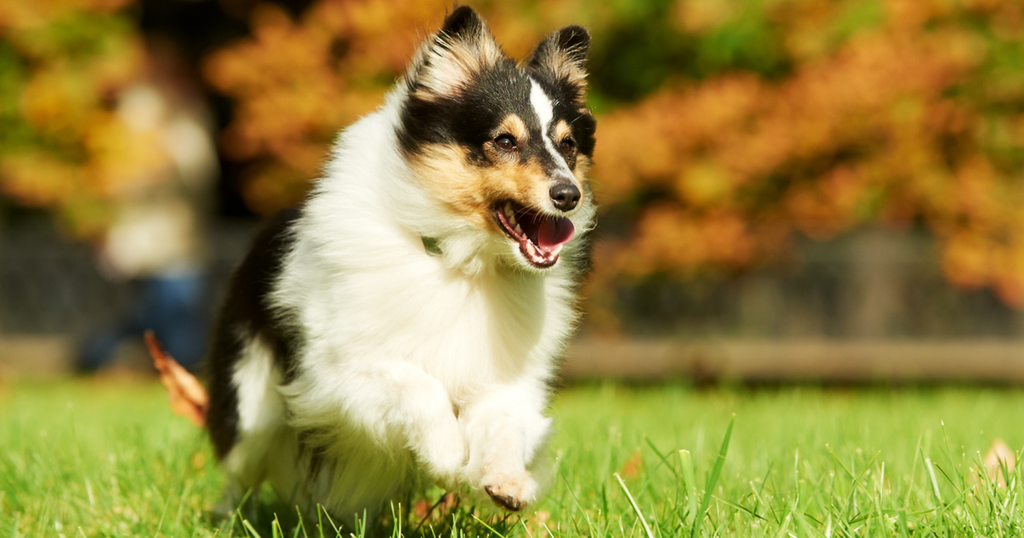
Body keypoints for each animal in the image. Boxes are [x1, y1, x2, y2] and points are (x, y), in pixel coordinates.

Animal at [201, 5, 593, 524]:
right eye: (505, 140)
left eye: (567, 145)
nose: (569, 195)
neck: (461, 263)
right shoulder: (339, 369)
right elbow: (416, 384)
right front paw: (448, 455)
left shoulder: (505, 377)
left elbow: (504, 422)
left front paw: (505, 481)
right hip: (251, 407)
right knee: (238, 472)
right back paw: (228, 519)